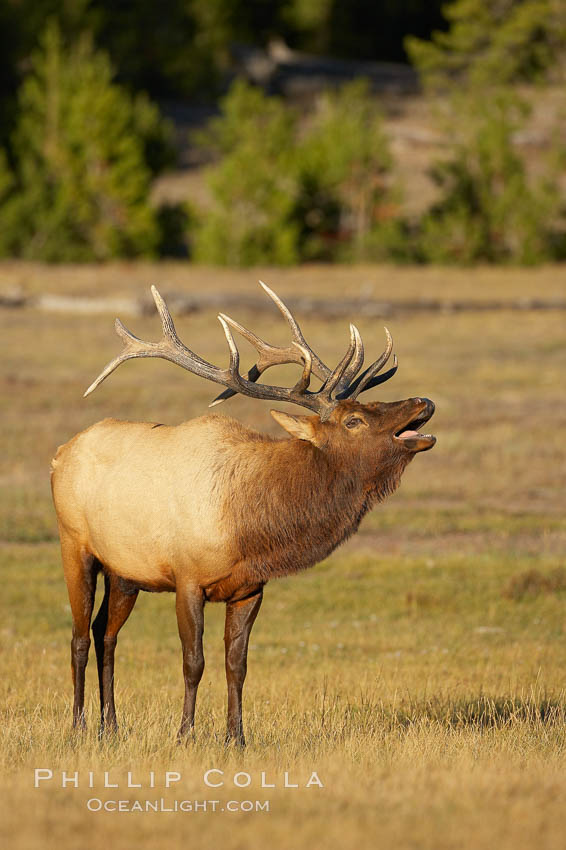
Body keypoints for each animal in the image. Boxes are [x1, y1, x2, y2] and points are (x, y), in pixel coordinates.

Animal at [51, 280, 438, 744]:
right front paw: (185, 734)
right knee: (78, 637)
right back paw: (78, 725)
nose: (424, 401)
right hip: (75, 545)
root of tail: (60, 453)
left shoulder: (250, 588)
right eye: (354, 420)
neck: (249, 527)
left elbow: (237, 665)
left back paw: (110, 726)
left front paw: (236, 738)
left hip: (125, 571)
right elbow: (193, 661)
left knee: (105, 633)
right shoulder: (188, 578)